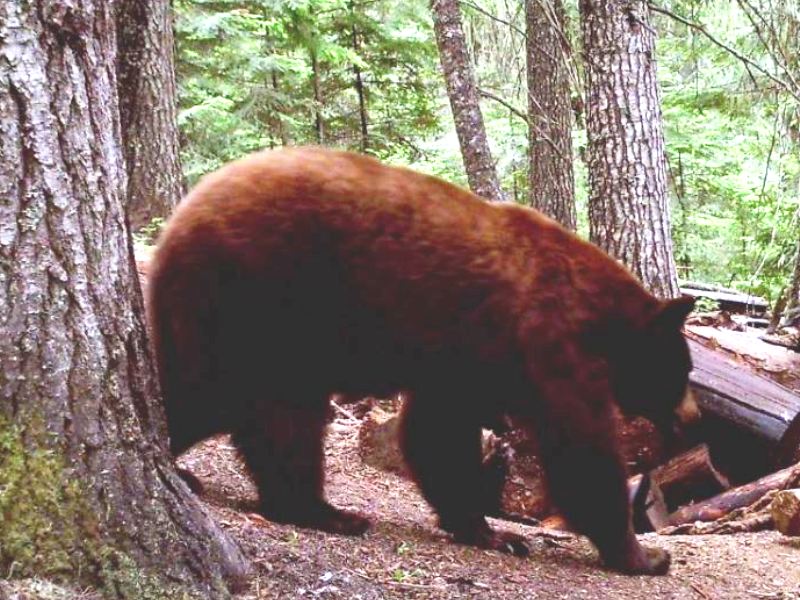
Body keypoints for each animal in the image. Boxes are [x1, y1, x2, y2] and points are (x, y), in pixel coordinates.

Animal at [147, 147, 698, 575]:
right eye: (686, 370)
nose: (692, 416)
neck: (602, 316)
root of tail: (178, 219)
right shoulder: (549, 341)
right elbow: (580, 448)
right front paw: (643, 556)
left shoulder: (466, 362)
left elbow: (438, 433)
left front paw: (489, 531)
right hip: (267, 298)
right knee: (273, 408)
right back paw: (325, 511)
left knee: (203, 393)